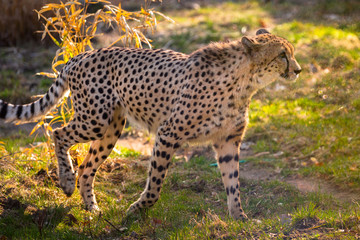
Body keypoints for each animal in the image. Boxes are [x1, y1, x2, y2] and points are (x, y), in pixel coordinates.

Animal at [0, 28, 300, 219]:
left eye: (292, 53)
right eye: (282, 55)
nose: (297, 70)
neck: (244, 82)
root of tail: (82, 54)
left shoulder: (228, 141)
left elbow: (233, 182)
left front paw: (240, 218)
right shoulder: (169, 133)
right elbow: (156, 182)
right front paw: (137, 209)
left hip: (111, 128)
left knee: (87, 165)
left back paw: (91, 208)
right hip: (94, 119)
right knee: (57, 132)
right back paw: (65, 181)